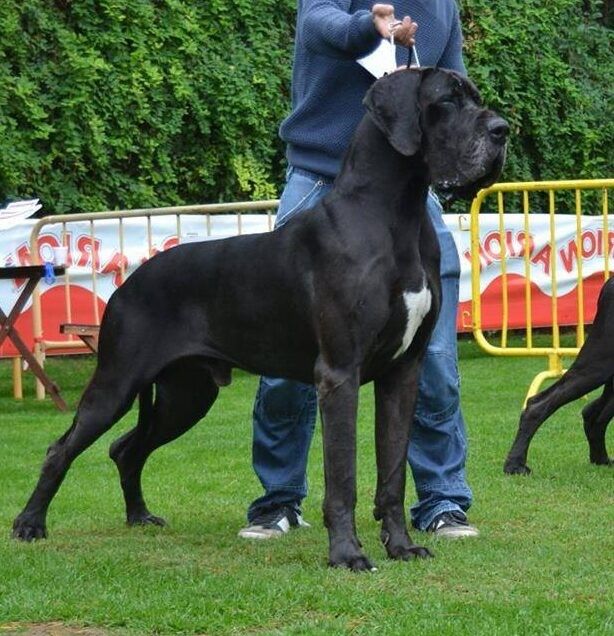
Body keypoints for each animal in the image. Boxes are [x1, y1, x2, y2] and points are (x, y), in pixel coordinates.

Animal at [13, 68, 507, 570]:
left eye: (475, 98)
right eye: (447, 100)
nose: (502, 130)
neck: (395, 216)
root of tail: (130, 281)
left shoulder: (403, 372)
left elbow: (392, 472)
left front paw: (401, 546)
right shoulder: (339, 373)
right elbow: (342, 477)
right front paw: (347, 554)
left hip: (186, 395)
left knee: (125, 449)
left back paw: (138, 515)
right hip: (117, 382)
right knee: (62, 448)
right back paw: (30, 525)